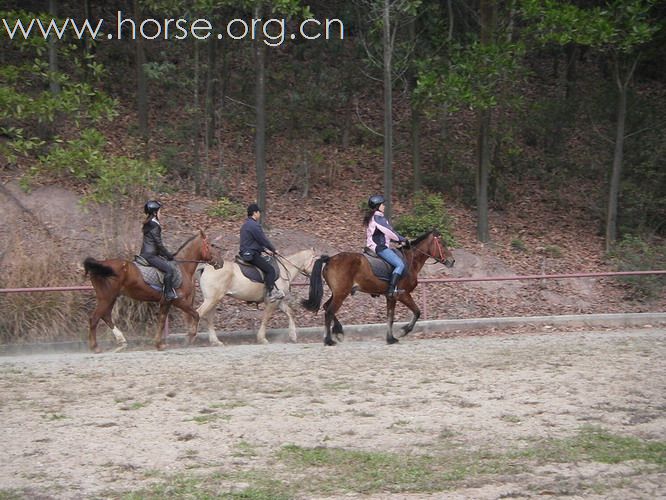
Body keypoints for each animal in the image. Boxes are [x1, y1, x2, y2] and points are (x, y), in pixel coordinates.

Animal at [82, 229, 211, 352]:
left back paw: (121, 340)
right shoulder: (178, 300)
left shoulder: (166, 302)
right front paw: (189, 338)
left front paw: (159, 344)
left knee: (106, 316)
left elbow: (161, 321)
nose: (216, 263)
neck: (182, 267)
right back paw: (95, 347)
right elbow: (196, 314)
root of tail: (101, 263)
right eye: (211, 245)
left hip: (111, 297)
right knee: (94, 318)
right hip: (107, 297)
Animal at [300, 229, 452, 344]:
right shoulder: (402, 294)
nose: (452, 261)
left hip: (338, 293)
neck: (410, 261)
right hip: (341, 294)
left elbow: (390, 317)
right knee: (329, 311)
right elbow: (417, 312)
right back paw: (329, 340)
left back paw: (338, 331)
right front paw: (403, 331)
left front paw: (390, 338)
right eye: (442, 244)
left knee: (327, 307)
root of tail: (330, 259)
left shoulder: (391, 297)